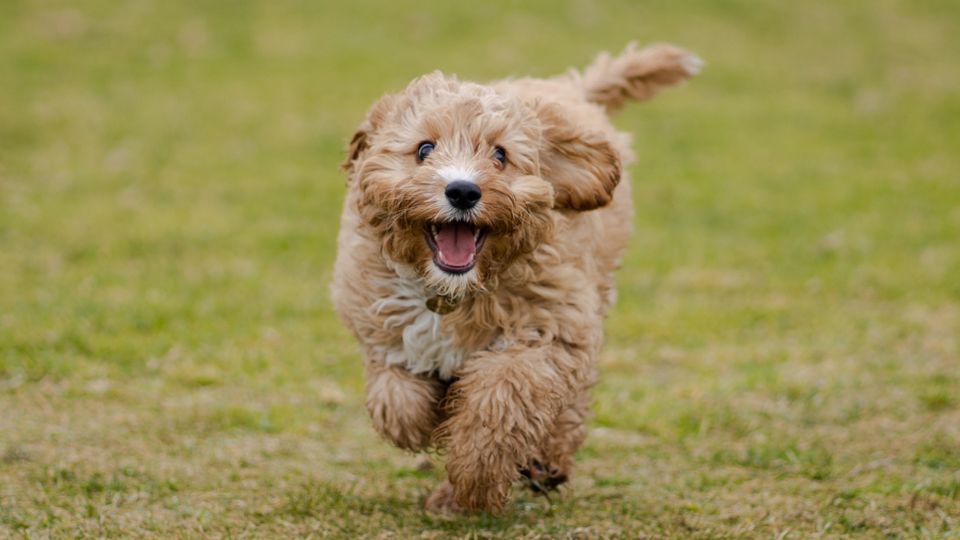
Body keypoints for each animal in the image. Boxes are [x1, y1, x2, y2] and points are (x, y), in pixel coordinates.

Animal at [334, 41, 700, 510]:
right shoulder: (379, 322)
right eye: (424, 148)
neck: (451, 291)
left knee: (570, 400)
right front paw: (427, 421)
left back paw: (545, 461)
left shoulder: (546, 331)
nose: (463, 191)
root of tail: (568, 89)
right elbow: (396, 399)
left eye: (500, 155)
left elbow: (500, 402)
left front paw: (474, 478)